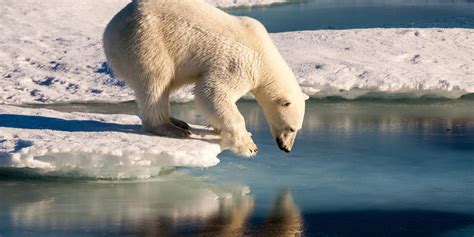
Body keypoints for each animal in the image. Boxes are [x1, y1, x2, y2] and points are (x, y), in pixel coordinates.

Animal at [103, 0, 308, 157]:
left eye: (297, 129)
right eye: (291, 128)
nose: (286, 148)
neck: (264, 54)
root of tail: (110, 29)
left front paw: (218, 128)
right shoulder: (239, 62)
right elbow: (212, 91)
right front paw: (249, 146)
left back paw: (178, 121)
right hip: (147, 42)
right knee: (156, 81)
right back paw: (172, 129)